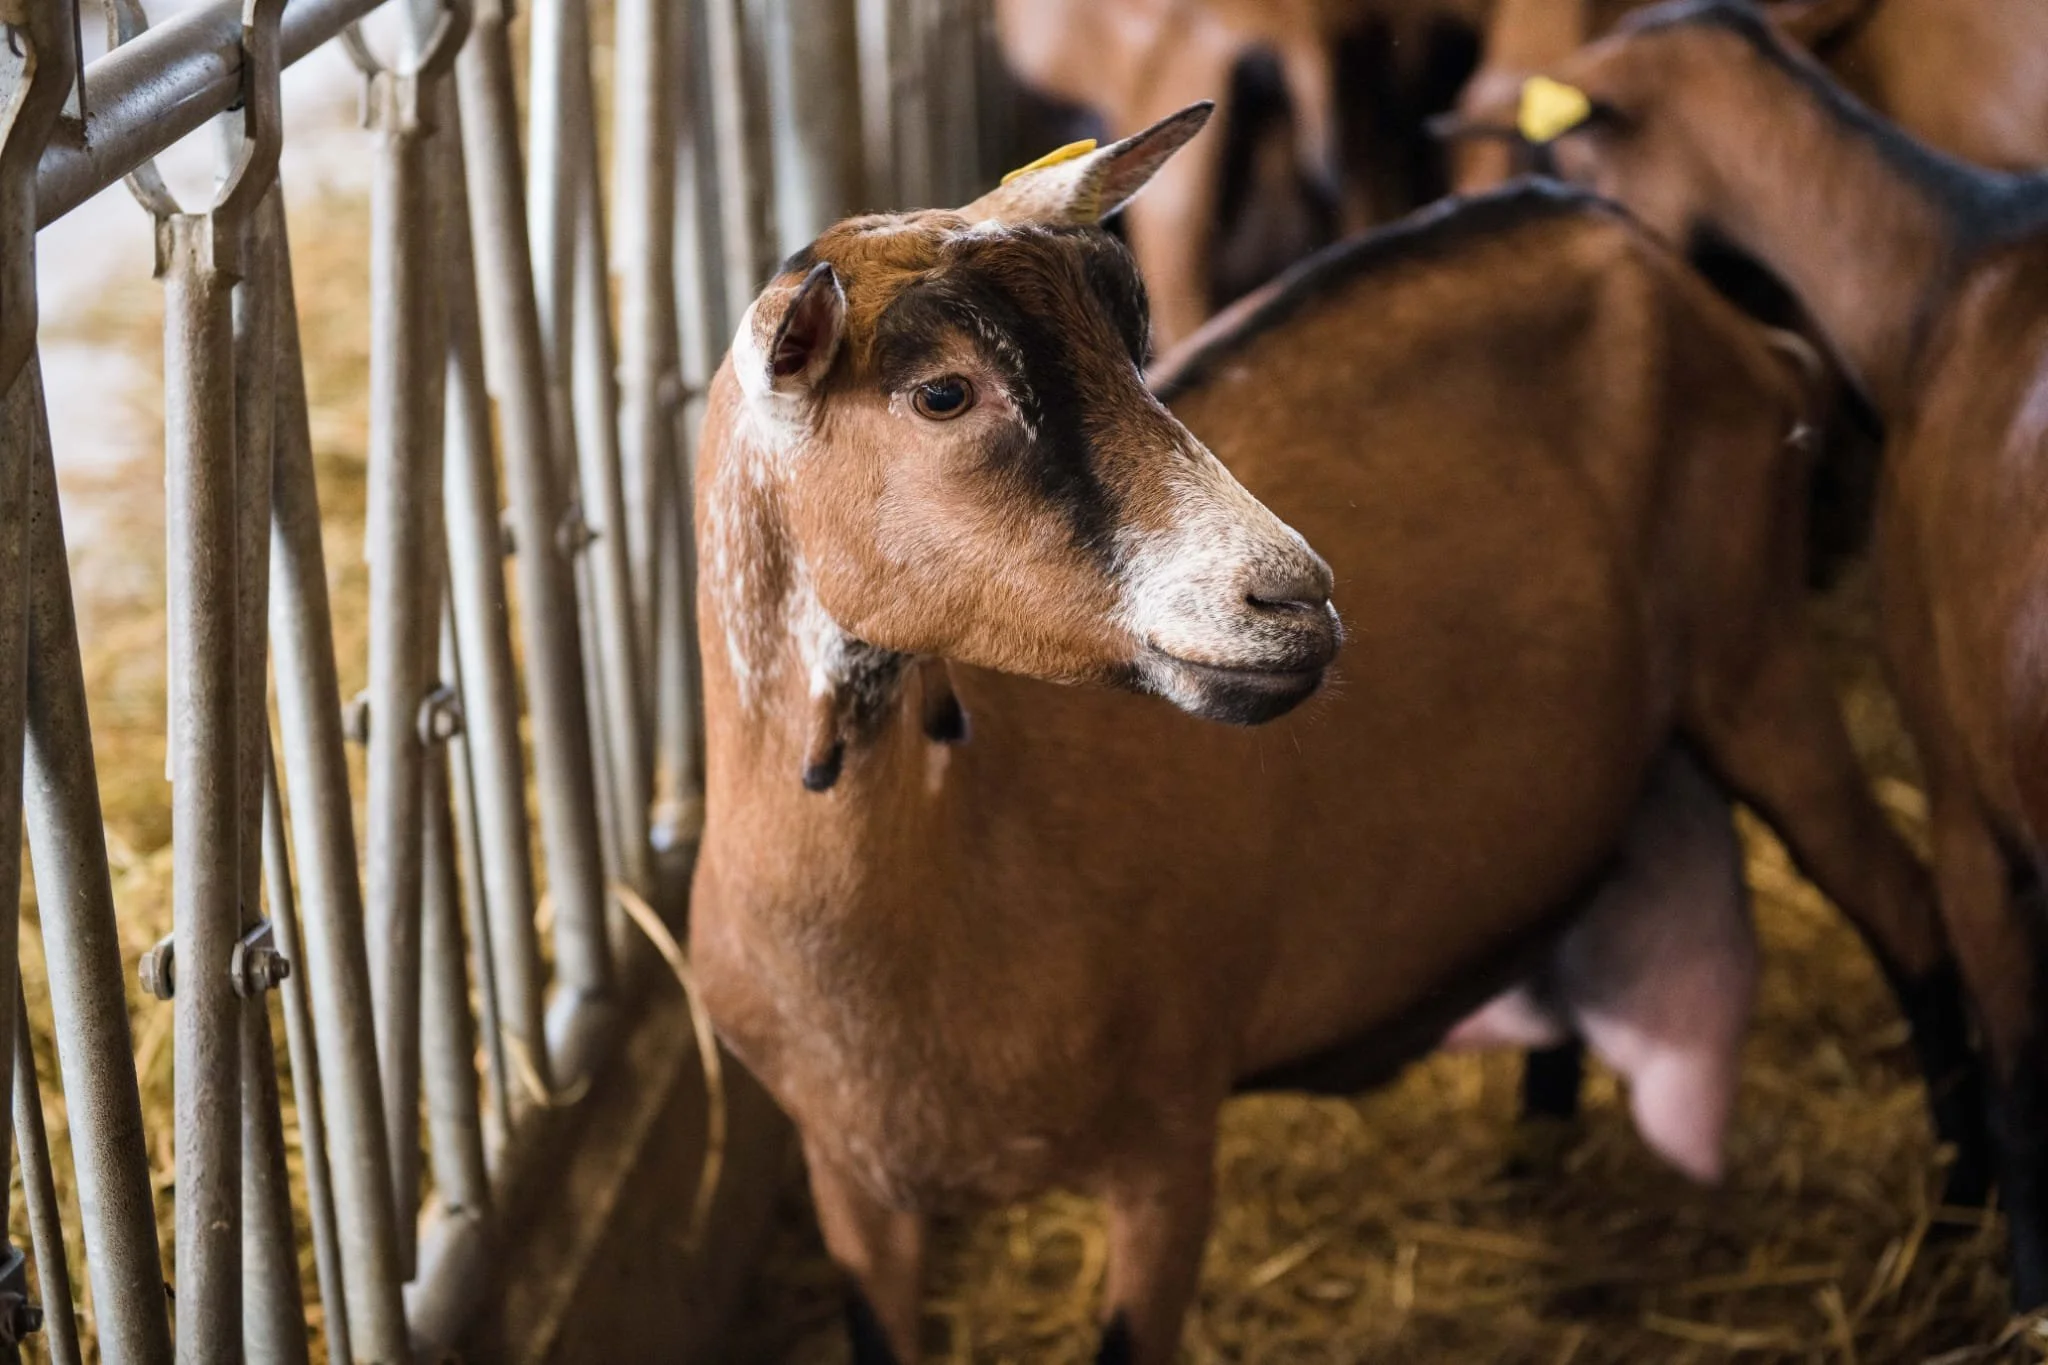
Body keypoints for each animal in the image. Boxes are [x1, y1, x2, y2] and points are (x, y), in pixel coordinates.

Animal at [689, 107, 1978, 1363]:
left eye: (1133, 347)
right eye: (941, 393)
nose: (1291, 600)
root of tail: (1646, 259)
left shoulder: (1167, 1140)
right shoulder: (851, 1186)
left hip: (1754, 650)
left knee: (1904, 906)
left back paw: (1966, 1219)